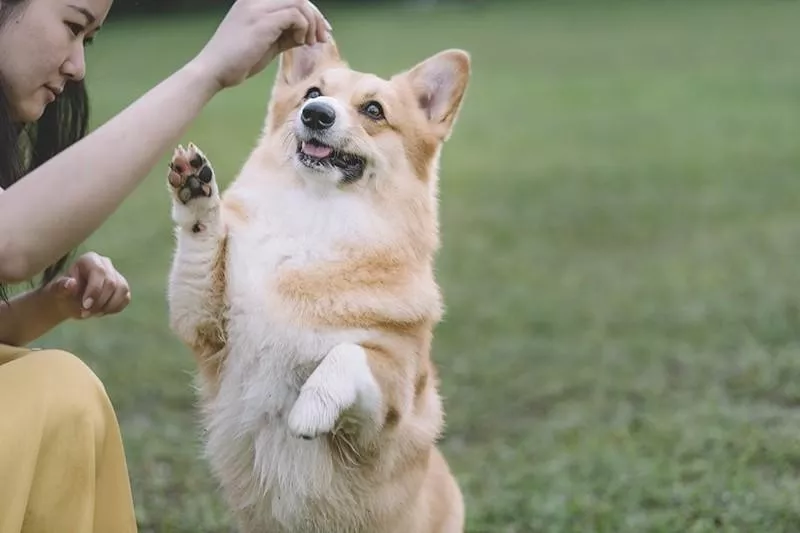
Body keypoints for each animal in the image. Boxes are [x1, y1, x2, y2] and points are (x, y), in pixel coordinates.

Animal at [166, 37, 472, 532]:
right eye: (312, 93)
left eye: (373, 109)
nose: (316, 115)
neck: (315, 217)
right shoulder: (205, 327)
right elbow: (200, 246)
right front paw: (196, 191)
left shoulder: (389, 400)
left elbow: (346, 354)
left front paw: (308, 411)